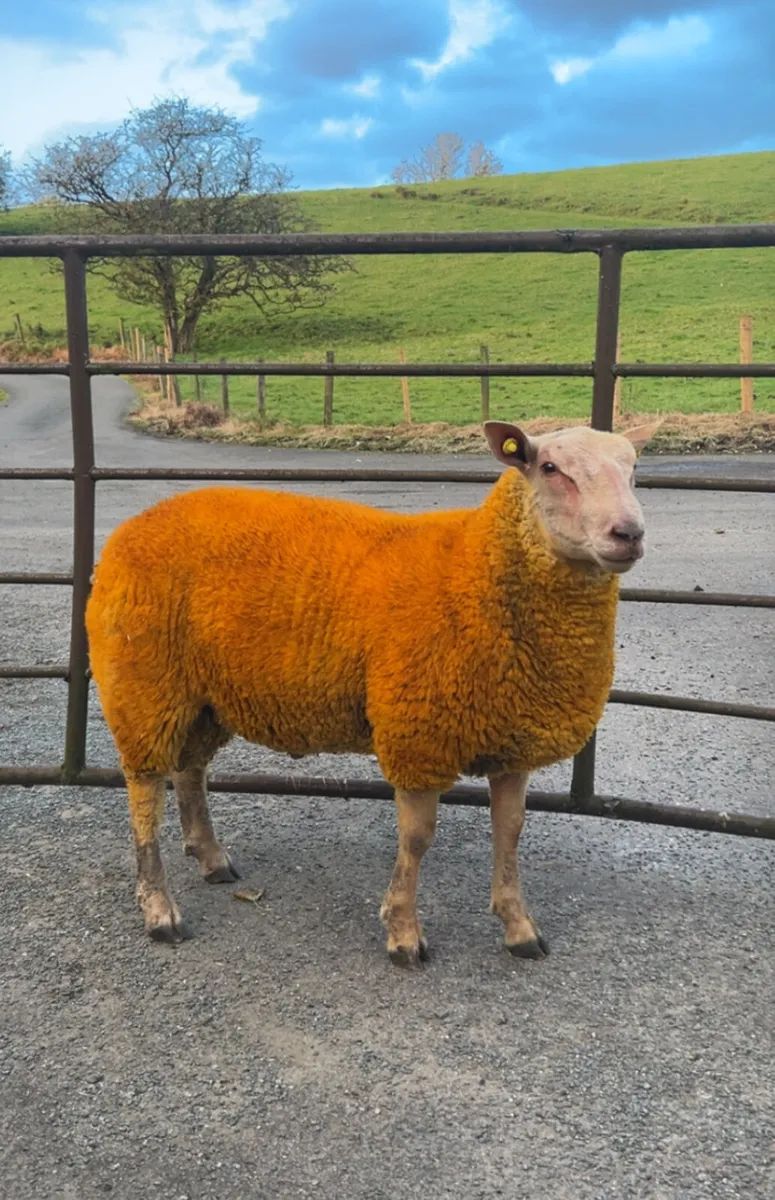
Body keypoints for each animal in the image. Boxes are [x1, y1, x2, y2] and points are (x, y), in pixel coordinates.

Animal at [86, 419, 659, 966]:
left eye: (634, 469)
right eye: (549, 467)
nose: (629, 533)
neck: (474, 567)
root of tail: (130, 528)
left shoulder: (511, 739)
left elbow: (510, 831)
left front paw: (519, 927)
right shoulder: (416, 732)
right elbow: (417, 838)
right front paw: (403, 933)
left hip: (202, 696)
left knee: (190, 770)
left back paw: (210, 857)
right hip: (143, 682)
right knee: (145, 793)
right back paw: (160, 910)